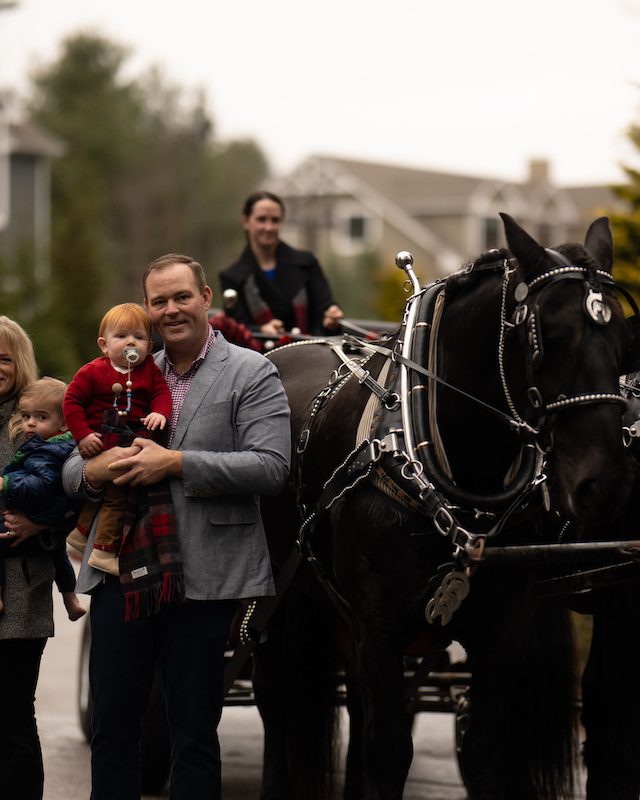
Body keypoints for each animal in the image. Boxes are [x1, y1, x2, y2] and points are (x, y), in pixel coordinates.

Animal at [252, 216, 632, 800]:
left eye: (621, 342)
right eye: (548, 339)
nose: (605, 483)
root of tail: (285, 349)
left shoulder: (506, 620)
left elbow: (485, 753)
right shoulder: (378, 616)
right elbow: (388, 751)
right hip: (276, 586)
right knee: (275, 691)